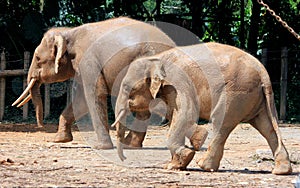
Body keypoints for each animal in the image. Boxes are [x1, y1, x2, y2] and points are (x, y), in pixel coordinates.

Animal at [11, 16, 176, 149]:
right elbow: (81, 101)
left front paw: (100, 147)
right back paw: (130, 145)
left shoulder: (89, 60)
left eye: (38, 58)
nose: (42, 125)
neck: (69, 32)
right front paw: (59, 140)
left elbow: (94, 94)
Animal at [112, 42, 292, 175]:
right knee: (267, 127)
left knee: (221, 123)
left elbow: (184, 114)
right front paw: (175, 164)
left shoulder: (177, 84)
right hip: (257, 98)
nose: (124, 158)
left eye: (127, 88)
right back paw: (281, 171)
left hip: (235, 93)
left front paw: (182, 159)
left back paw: (204, 165)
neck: (155, 59)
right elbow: (175, 117)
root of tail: (263, 72)